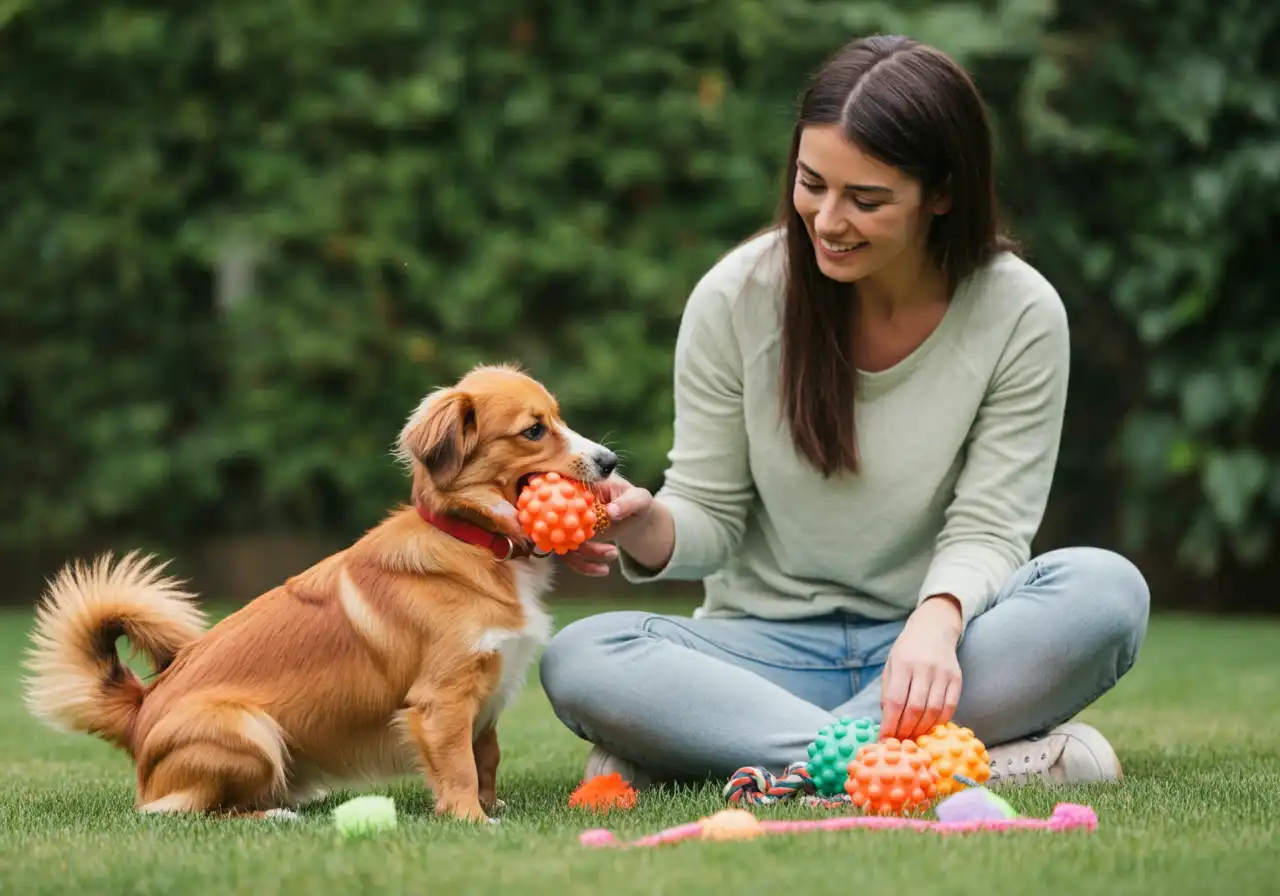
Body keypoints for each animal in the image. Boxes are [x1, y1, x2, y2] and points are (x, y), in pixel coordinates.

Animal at [21, 363, 619, 819]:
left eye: (560, 418)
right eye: (534, 431)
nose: (611, 461)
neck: (470, 539)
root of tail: (140, 712)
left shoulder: (487, 692)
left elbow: (485, 758)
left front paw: (492, 809)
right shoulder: (442, 699)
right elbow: (459, 768)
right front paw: (471, 820)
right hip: (248, 729)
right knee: (188, 812)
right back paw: (274, 817)